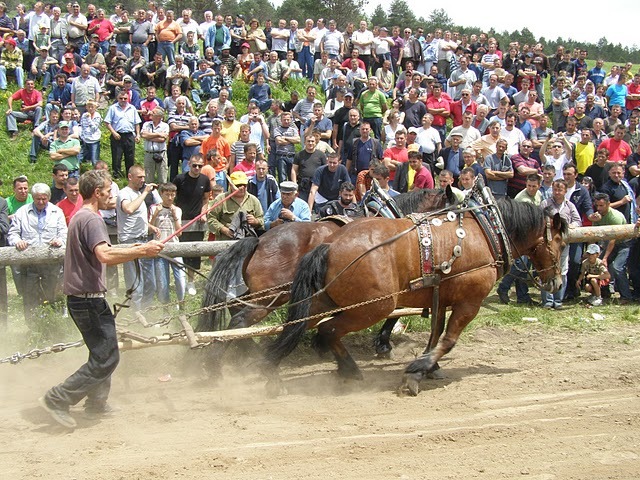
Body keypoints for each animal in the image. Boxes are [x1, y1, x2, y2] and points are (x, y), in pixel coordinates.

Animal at [262, 197, 568, 396]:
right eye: (561, 242)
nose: (556, 282)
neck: (486, 231)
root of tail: (329, 244)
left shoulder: (441, 299)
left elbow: (435, 334)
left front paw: (428, 367)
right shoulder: (470, 302)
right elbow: (448, 340)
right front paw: (416, 371)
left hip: (326, 301)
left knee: (299, 327)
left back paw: (273, 371)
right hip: (373, 307)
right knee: (329, 331)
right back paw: (349, 370)